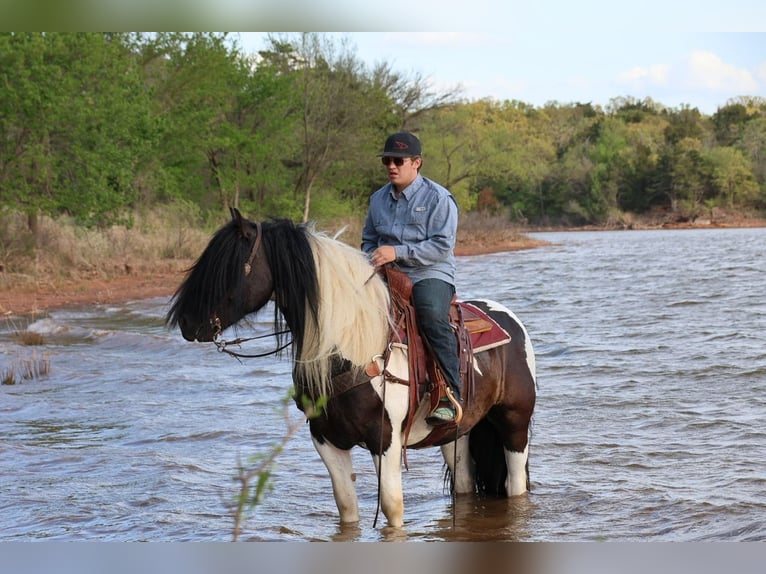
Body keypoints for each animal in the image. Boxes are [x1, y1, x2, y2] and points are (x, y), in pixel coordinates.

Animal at [166, 209, 536, 528]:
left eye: (228, 268)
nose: (187, 323)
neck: (350, 349)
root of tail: (509, 321)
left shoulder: (385, 440)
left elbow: (391, 506)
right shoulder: (326, 440)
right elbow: (346, 507)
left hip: (515, 424)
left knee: (515, 485)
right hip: (457, 434)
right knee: (464, 485)